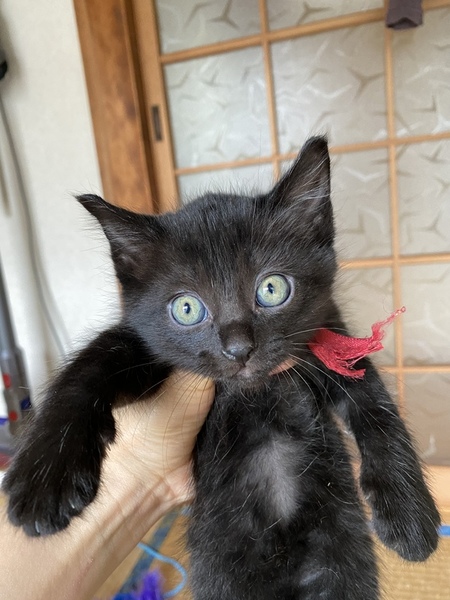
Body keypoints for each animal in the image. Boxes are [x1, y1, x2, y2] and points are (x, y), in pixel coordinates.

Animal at [3, 137, 440, 599]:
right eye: (187, 308)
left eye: (272, 289)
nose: (238, 348)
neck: (254, 392)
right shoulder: (142, 346)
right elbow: (93, 361)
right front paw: (44, 476)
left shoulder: (326, 338)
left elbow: (375, 405)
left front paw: (410, 516)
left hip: (340, 557)